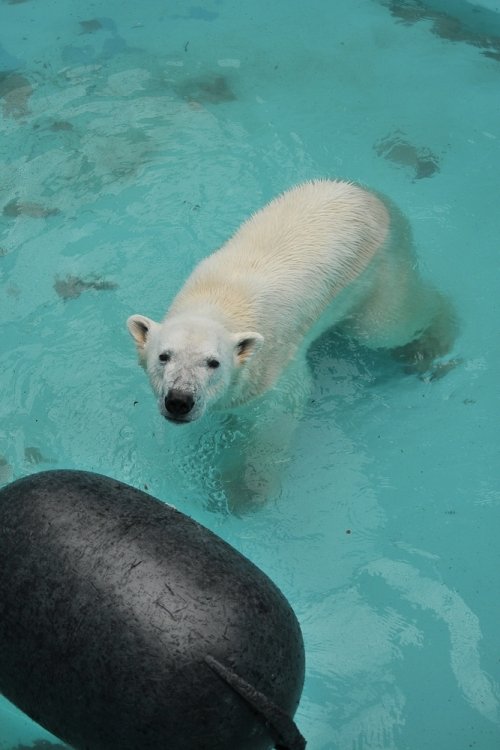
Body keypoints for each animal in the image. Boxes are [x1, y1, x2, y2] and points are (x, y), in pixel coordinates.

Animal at [127, 180, 456, 516]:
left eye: (213, 362)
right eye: (164, 356)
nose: (179, 401)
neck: (218, 301)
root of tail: (370, 195)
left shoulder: (275, 367)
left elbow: (276, 419)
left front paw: (241, 490)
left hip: (378, 270)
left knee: (387, 324)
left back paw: (429, 345)